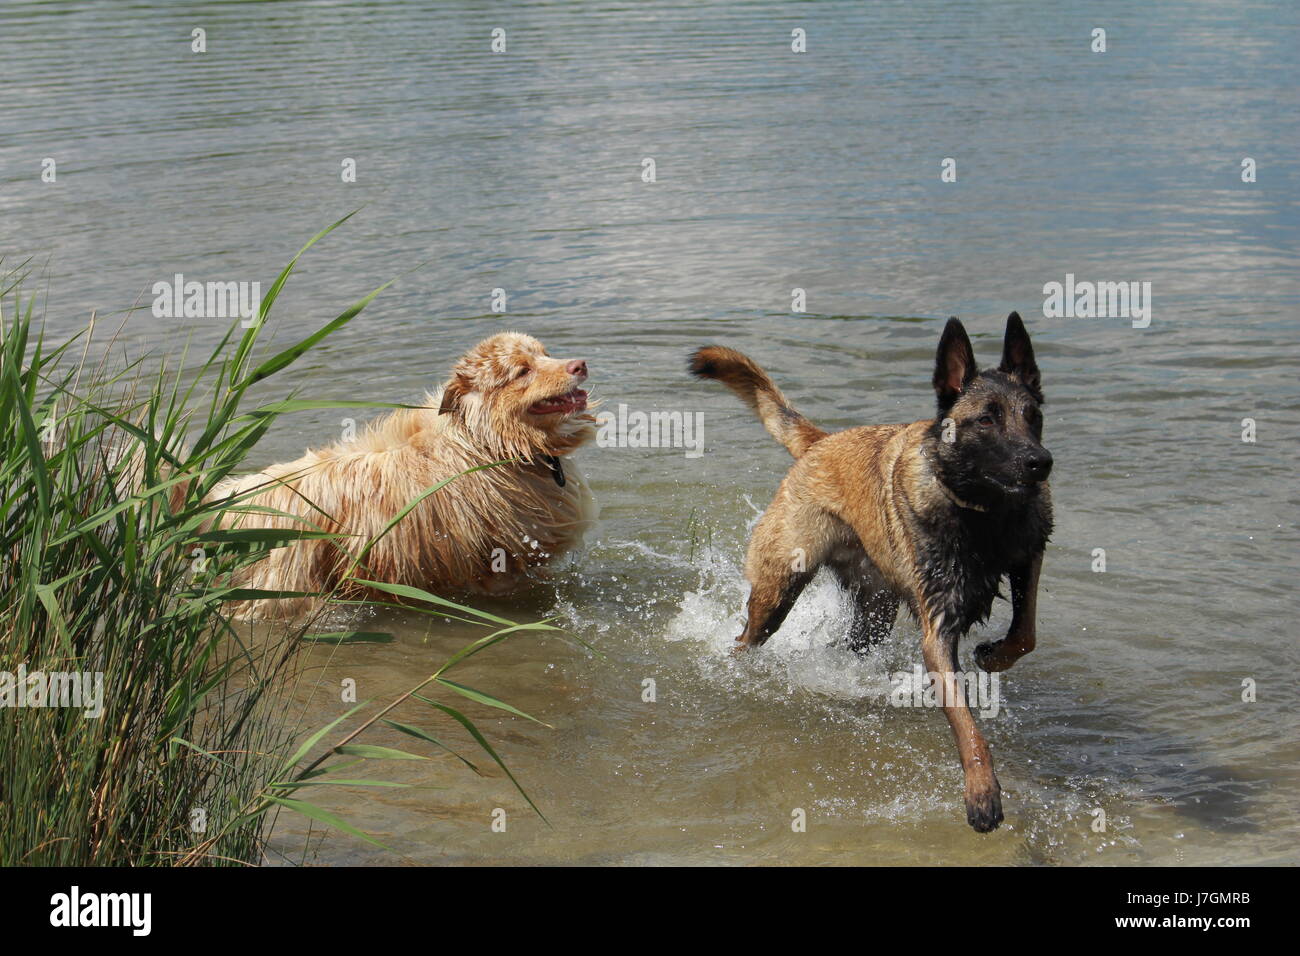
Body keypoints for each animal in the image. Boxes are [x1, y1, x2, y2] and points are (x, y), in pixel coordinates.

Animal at [213, 335, 598, 621]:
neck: (485, 445)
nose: (579, 364)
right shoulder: (498, 565)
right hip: (284, 591)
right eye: (522, 371)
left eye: (545, 353)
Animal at [696, 314, 1050, 832]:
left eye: (1033, 415)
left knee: (848, 644)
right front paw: (982, 793)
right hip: (778, 590)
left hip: (874, 614)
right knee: (747, 637)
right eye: (987, 419)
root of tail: (822, 442)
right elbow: (969, 730)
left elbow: (1026, 633)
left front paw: (994, 654)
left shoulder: (1029, 555)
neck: (981, 513)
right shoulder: (937, 635)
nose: (1041, 463)